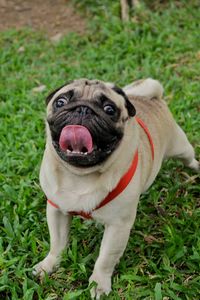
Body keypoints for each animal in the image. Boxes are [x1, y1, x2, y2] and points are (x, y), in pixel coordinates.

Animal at [33, 78, 199, 298]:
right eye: (60, 102)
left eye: (109, 109)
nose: (83, 109)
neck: (80, 175)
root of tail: (152, 98)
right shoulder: (56, 210)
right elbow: (57, 243)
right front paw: (49, 265)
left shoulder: (118, 226)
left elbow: (105, 258)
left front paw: (99, 284)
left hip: (181, 148)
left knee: (190, 158)